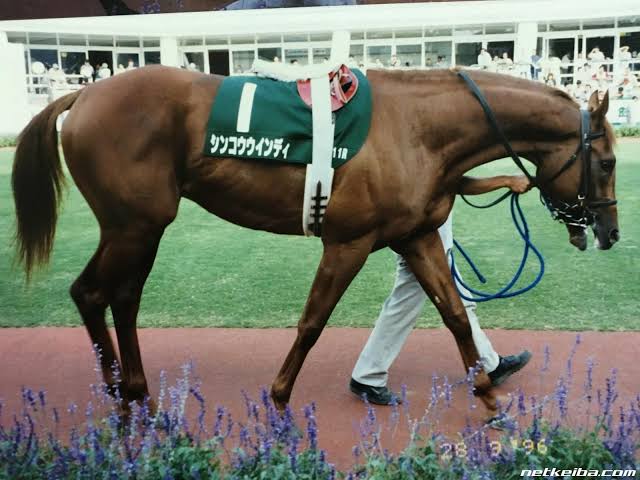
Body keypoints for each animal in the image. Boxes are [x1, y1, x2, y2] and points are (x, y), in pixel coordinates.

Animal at [12, 65, 619, 418]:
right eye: (609, 162)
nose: (611, 233)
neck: (416, 126)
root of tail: (82, 94)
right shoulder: (348, 241)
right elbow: (312, 321)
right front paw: (280, 396)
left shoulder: (416, 234)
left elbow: (453, 313)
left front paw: (489, 392)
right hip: (134, 225)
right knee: (93, 293)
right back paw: (121, 399)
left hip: (140, 228)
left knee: (121, 297)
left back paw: (137, 393)